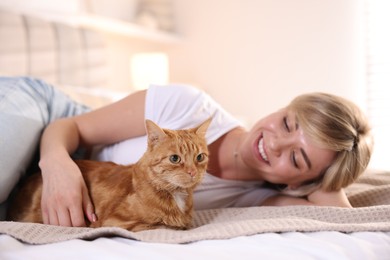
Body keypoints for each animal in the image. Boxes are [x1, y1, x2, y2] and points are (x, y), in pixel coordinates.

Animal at [6, 119, 210, 232]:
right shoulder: (115, 222)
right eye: (175, 158)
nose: (193, 172)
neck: (177, 195)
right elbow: (165, 225)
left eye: (200, 157)